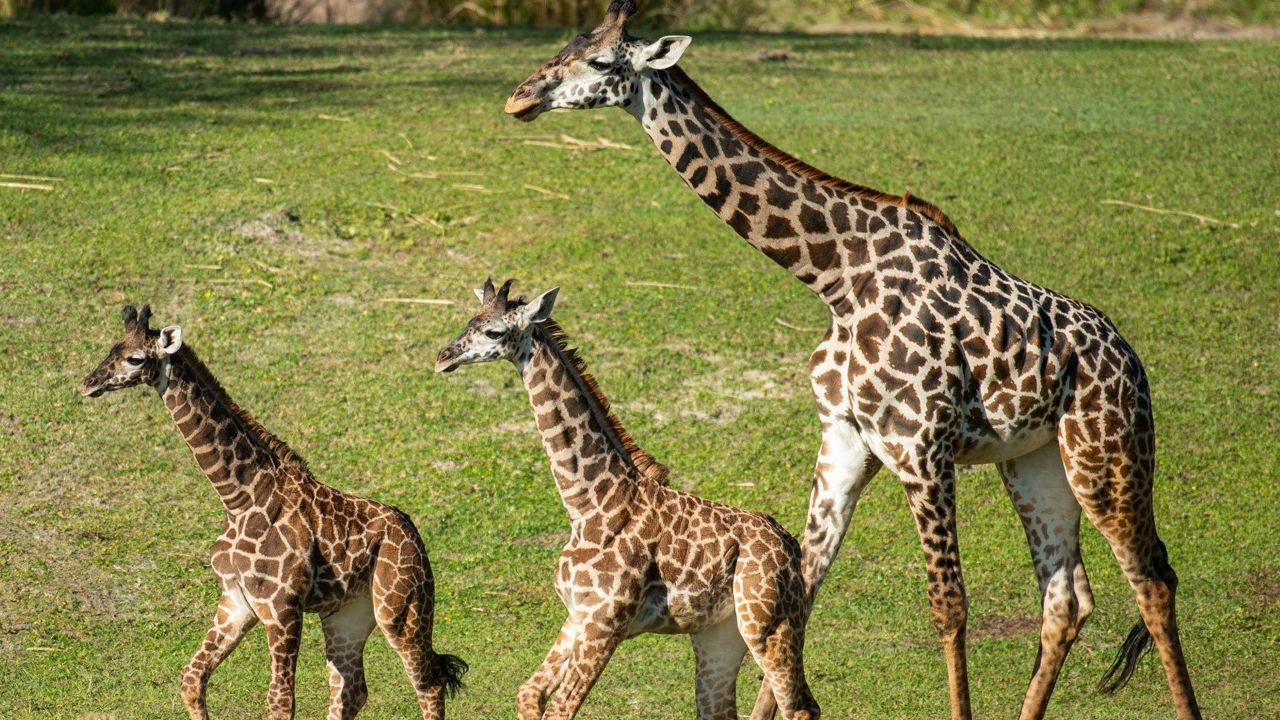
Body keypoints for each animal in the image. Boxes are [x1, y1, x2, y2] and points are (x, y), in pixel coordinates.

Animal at [78, 302, 465, 717]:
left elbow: (279, 701)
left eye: (134, 358)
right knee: (350, 689)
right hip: (348, 612)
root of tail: (415, 537)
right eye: (111, 348)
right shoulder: (237, 601)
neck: (239, 497)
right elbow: (192, 678)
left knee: (428, 683)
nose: (88, 383)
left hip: (400, 607)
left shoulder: (282, 608)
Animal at [437, 278, 819, 712]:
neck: (590, 503)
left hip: (767, 625)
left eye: (494, 332)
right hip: (721, 635)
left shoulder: (605, 625)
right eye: (470, 320)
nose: (443, 357)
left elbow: (560, 707)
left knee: (799, 707)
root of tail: (793, 550)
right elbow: (530, 693)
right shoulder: (578, 616)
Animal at [501, 5, 1198, 717]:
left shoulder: (920, 446)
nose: (520, 98)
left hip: (1106, 454)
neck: (835, 275)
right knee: (1067, 597)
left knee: (1151, 579)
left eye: (601, 61)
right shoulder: (845, 438)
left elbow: (948, 606)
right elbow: (802, 590)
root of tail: (1132, 361)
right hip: (1034, 461)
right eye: (565, 45)